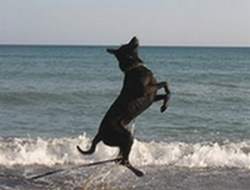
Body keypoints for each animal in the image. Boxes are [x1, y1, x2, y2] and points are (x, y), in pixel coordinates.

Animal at [76, 37, 170, 177]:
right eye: (127, 44)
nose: (135, 37)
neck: (133, 67)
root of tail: (100, 134)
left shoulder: (152, 97)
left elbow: (165, 94)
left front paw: (164, 106)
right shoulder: (146, 91)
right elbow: (165, 83)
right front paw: (166, 100)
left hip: (122, 140)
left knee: (119, 159)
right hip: (126, 136)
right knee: (123, 160)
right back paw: (138, 172)